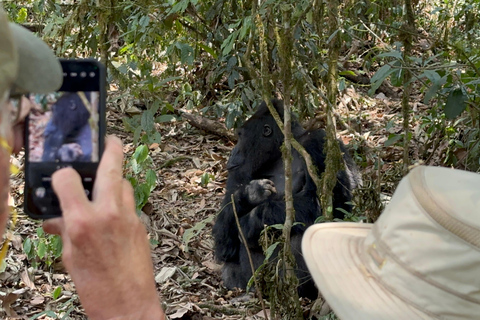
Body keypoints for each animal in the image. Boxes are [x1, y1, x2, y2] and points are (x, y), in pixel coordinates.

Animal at [214, 100, 360, 300]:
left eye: (241, 137)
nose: (232, 152)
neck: (279, 155)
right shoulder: (238, 172)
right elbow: (224, 246)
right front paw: (250, 194)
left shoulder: (319, 140)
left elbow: (331, 203)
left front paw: (251, 221)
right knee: (229, 268)